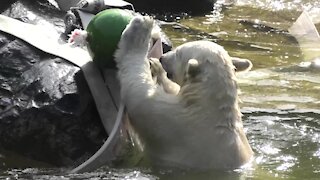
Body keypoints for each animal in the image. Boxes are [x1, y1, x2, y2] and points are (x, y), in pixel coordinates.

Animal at [114, 15, 254, 170]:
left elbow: (139, 96)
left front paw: (140, 28)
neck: (207, 102)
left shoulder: (176, 125)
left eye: (179, 53)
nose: (162, 58)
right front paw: (156, 67)